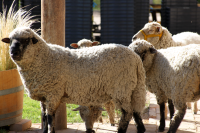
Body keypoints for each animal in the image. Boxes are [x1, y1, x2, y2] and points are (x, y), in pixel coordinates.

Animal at [1, 26, 147, 133]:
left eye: (27, 40)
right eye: (11, 40)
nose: (13, 52)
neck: (44, 59)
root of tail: (136, 59)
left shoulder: (53, 94)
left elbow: (50, 118)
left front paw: (51, 131)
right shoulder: (44, 96)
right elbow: (43, 118)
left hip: (122, 88)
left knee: (127, 113)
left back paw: (121, 131)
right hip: (133, 89)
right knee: (136, 111)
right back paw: (140, 129)